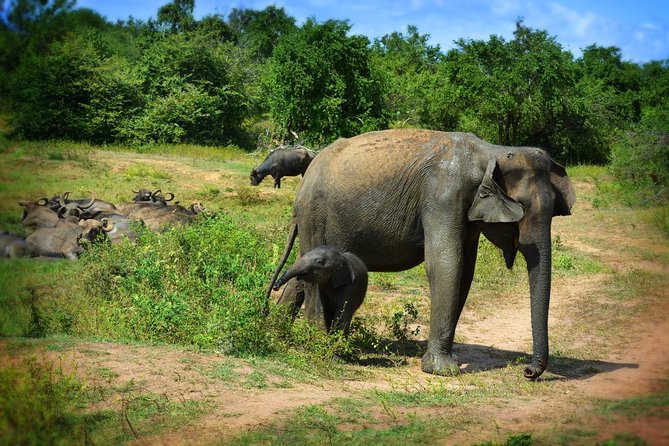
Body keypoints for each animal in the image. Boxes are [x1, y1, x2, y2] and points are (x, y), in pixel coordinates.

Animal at [266, 129, 576, 380]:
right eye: (521, 207)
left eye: (553, 210)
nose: (528, 371)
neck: (492, 152)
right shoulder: (444, 195)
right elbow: (446, 264)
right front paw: (442, 371)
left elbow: (465, 271)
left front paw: (446, 364)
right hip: (314, 214)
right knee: (311, 276)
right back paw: (314, 344)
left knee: (303, 274)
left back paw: (280, 332)